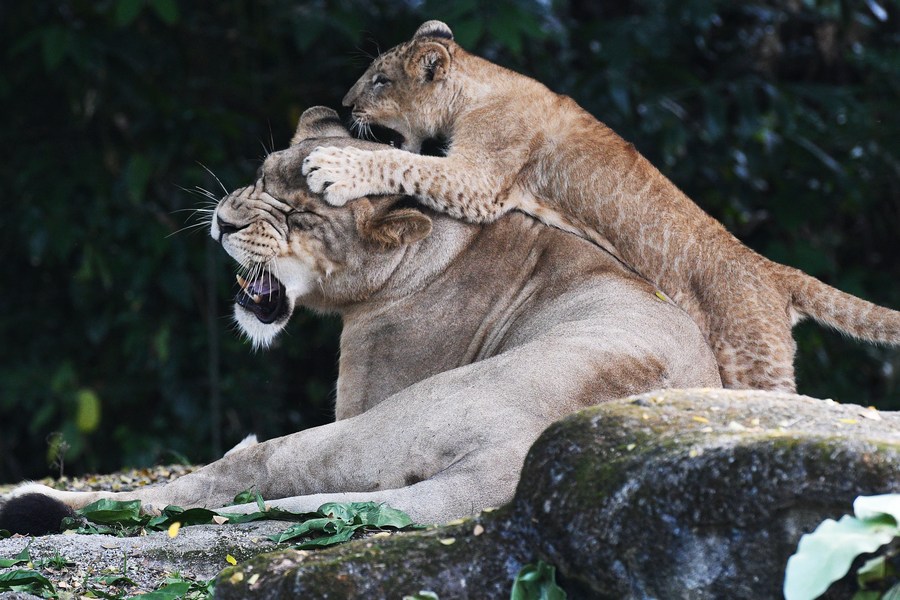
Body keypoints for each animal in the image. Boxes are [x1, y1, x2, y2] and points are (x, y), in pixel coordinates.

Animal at [0, 107, 720, 532]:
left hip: (378, 424)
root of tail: (517, 463)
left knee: (228, 477)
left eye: (300, 216)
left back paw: (32, 499)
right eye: (257, 177)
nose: (223, 222)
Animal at [300, 20, 900, 393]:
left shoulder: (481, 180)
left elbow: (405, 162)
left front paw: (332, 168)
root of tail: (772, 271)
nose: (346, 105)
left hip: (751, 359)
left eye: (381, 79)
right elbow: (409, 159)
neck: (478, 87)